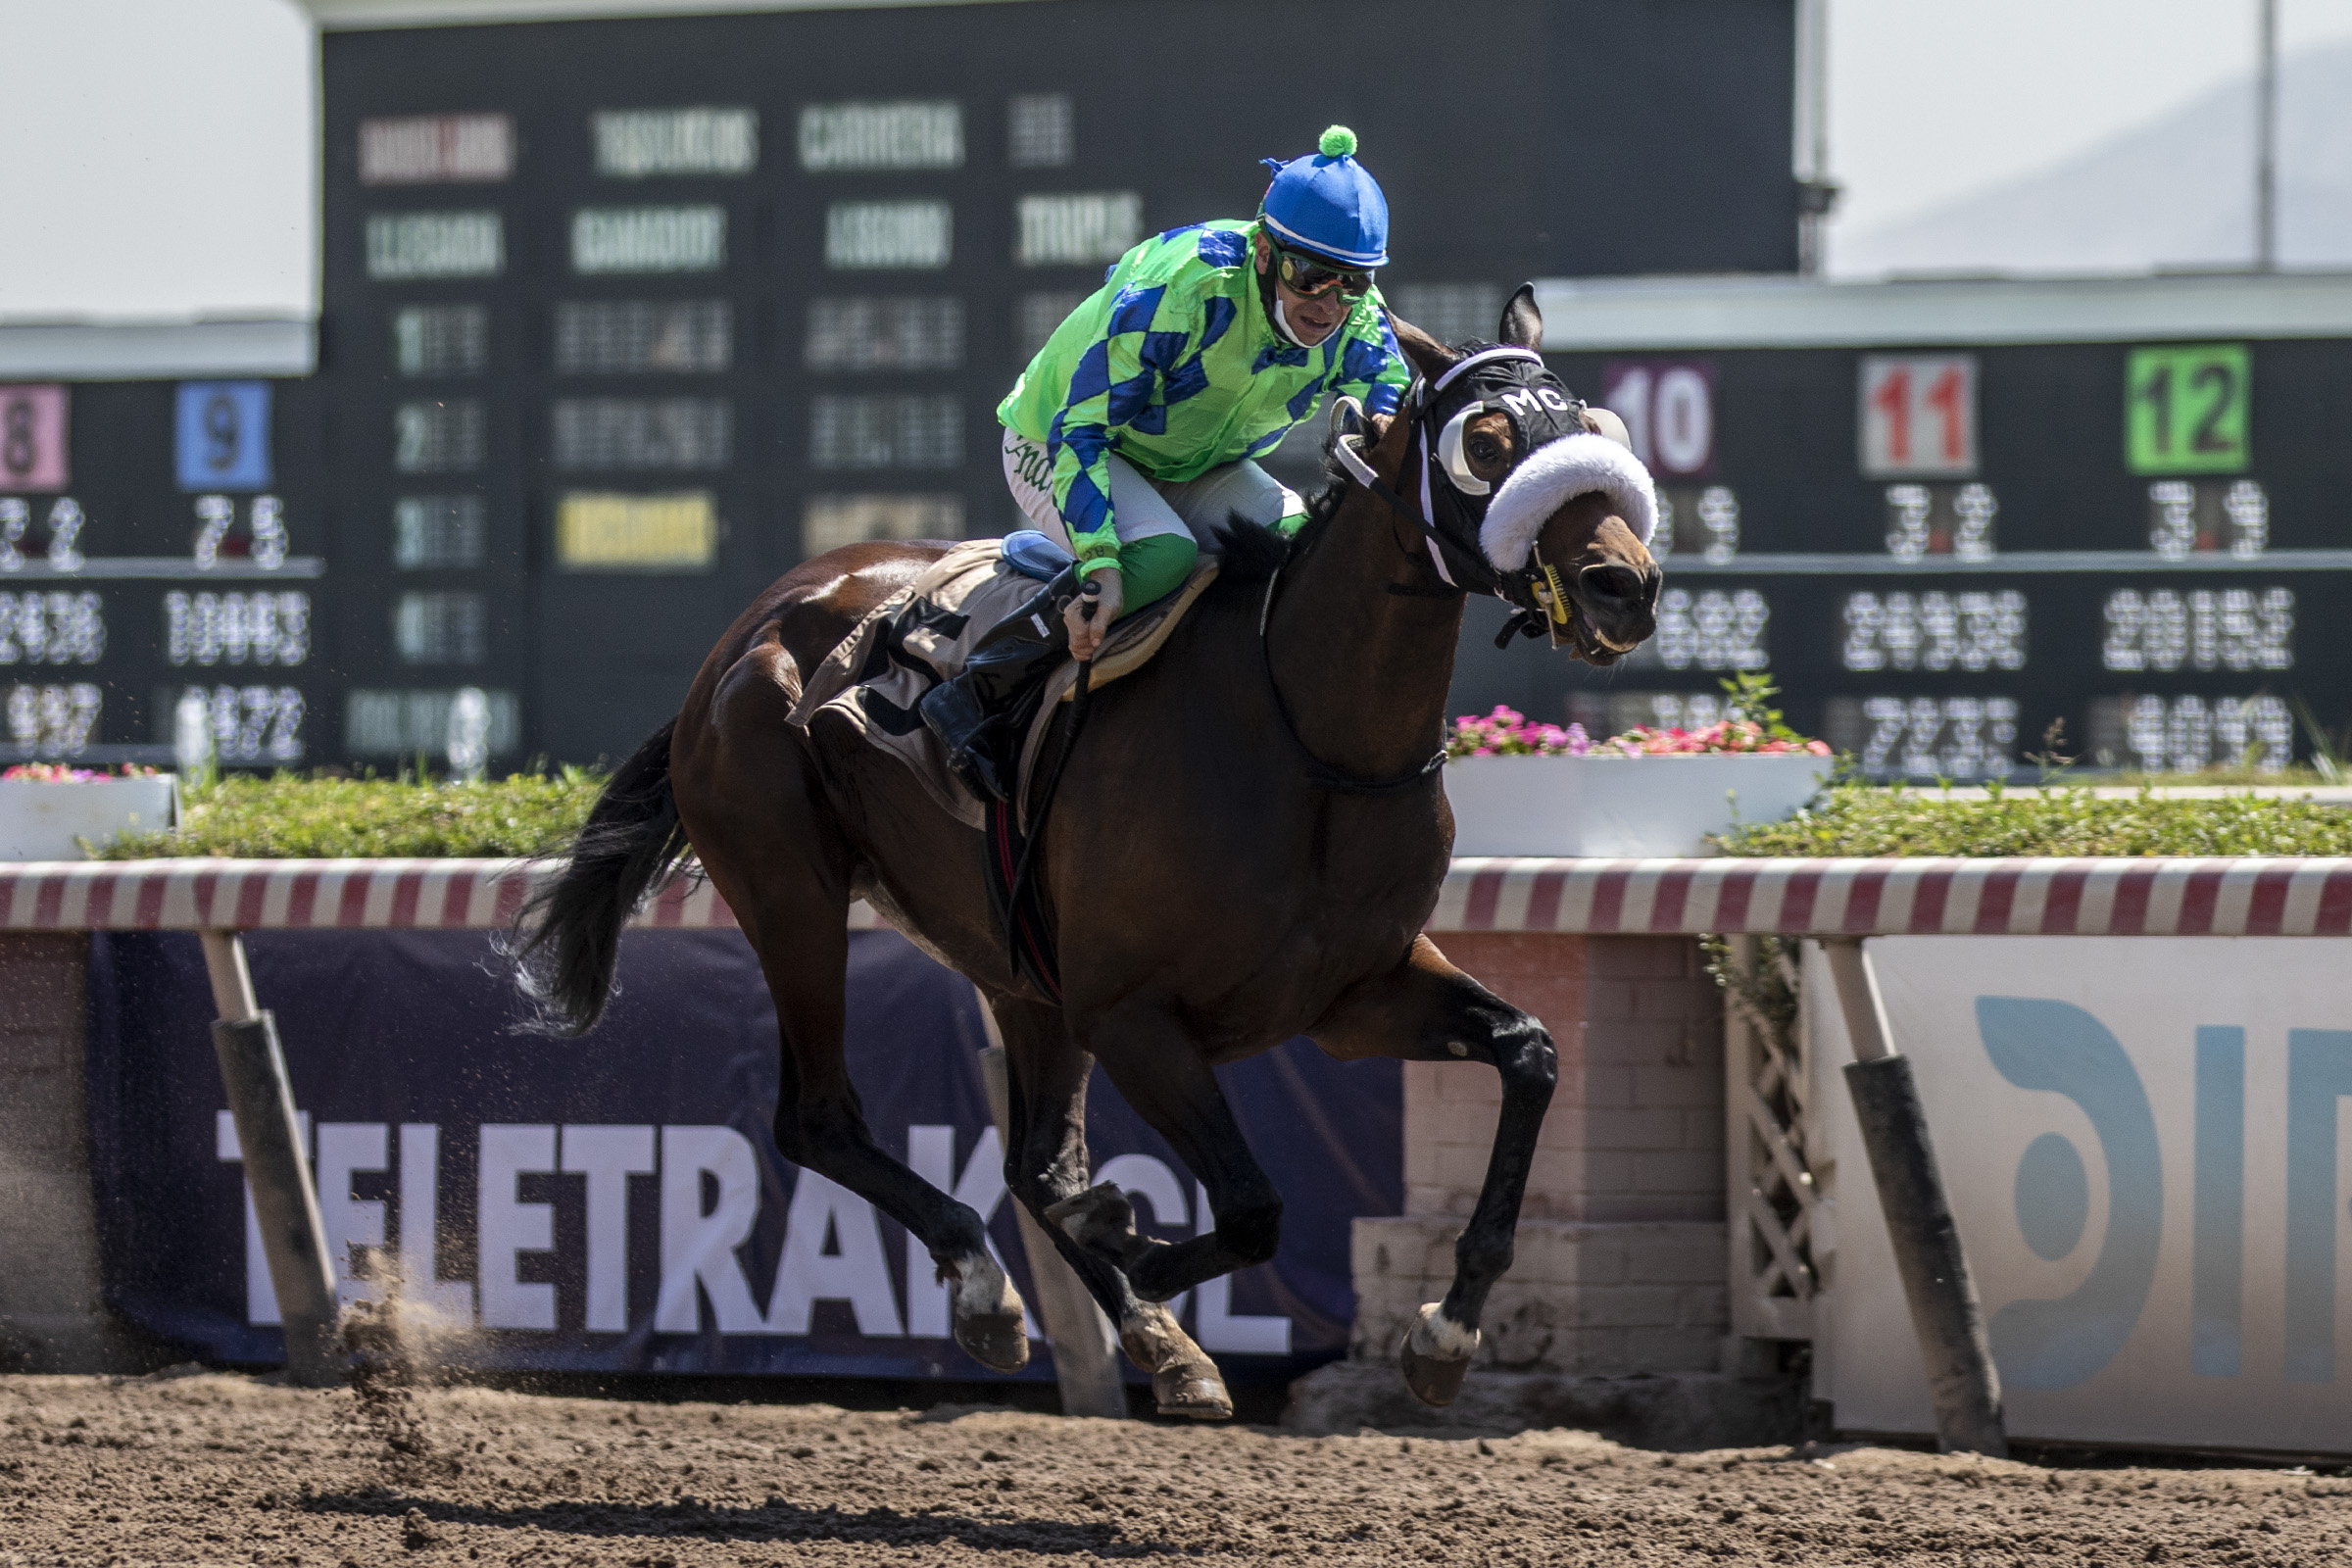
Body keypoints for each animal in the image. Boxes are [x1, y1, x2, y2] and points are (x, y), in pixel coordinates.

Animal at [514, 287, 1662, 1416]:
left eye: (1595, 429)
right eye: (1487, 441)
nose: (1626, 585)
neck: (1305, 735)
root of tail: (739, 638)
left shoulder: (1351, 994)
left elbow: (1530, 1053)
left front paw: (1444, 1329)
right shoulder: (1133, 1013)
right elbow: (1250, 1205)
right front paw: (1136, 1247)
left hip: (1012, 960)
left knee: (1030, 1162)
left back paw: (1145, 1336)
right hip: (790, 889)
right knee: (822, 1121)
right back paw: (994, 1292)